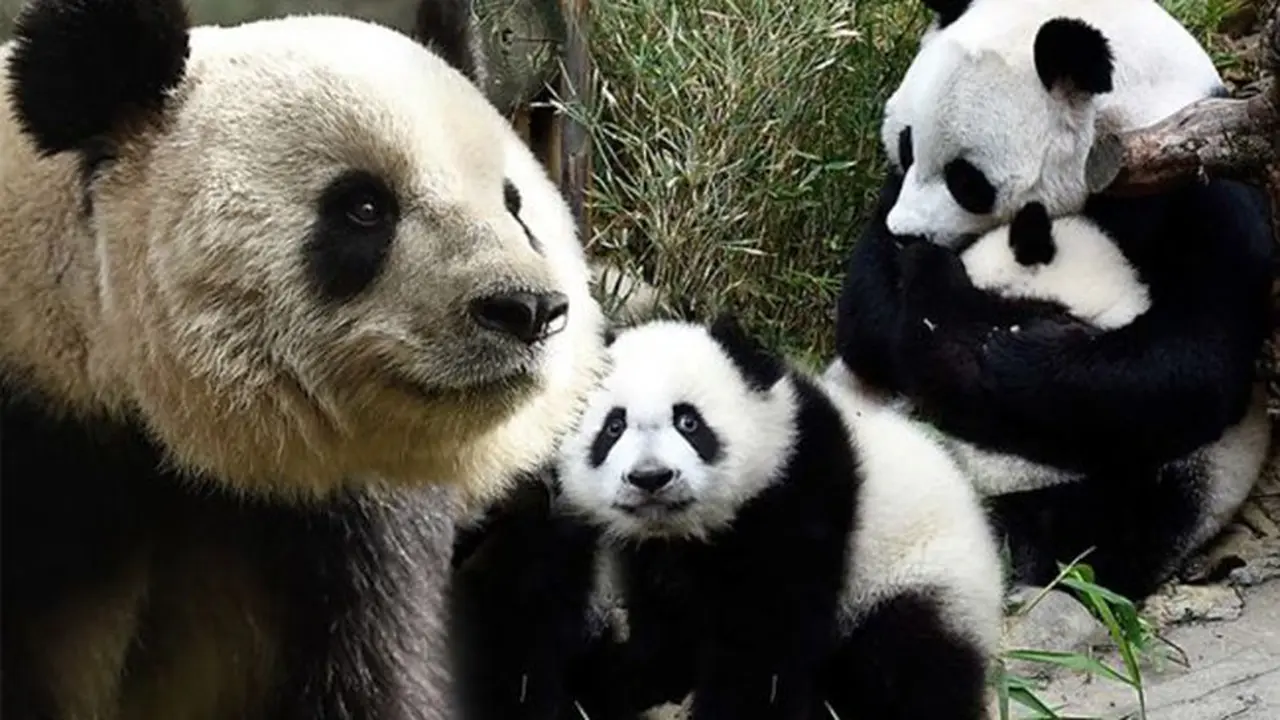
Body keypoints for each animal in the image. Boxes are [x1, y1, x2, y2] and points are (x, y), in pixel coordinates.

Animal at [554, 315, 1004, 720]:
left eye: (689, 422)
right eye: (613, 427)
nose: (651, 477)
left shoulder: (798, 500)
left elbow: (765, 642)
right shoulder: (652, 551)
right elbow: (665, 621)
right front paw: (630, 680)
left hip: (920, 575)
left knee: (909, 660)